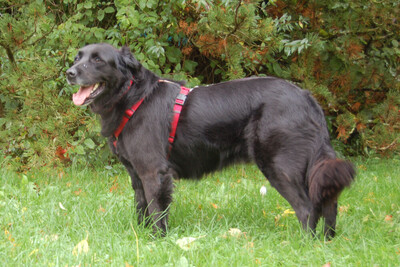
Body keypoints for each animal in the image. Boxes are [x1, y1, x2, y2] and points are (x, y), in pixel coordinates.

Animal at [66, 44, 356, 239]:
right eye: (78, 58)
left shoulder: (153, 171)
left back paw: (306, 244)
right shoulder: (137, 174)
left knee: (308, 208)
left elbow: (157, 210)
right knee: (329, 202)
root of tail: (306, 97)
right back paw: (327, 241)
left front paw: (157, 241)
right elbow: (142, 208)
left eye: (97, 60)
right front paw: (140, 238)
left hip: (279, 166)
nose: (69, 73)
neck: (133, 98)